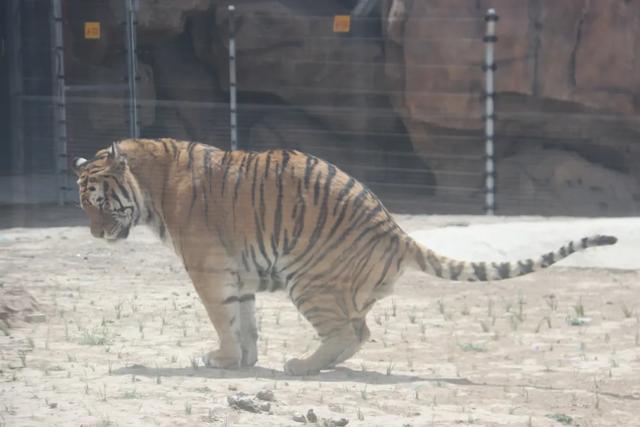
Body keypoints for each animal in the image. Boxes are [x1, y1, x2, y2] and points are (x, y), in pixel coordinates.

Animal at [72, 139, 616, 376]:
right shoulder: (238, 274)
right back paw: (313, 365)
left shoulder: (209, 270)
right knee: (361, 330)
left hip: (309, 280)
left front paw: (221, 359)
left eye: (98, 202)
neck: (151, 188)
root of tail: (396, 229)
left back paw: (300, 366)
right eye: (83, 205)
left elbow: (225, 320)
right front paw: (242, 361)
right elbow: (245, 321)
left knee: (349, 331)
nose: (95, 234)